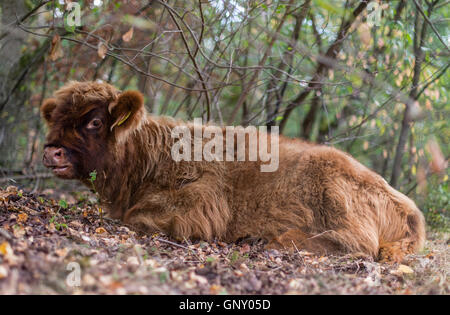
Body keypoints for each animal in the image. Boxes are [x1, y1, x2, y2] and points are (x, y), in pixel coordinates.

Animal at [40, 81, 424, 262]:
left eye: (94, 121)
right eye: (55, 118)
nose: (51, 150)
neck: (150, 156)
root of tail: (408, 207)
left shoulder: (197, 205)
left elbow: (139, 218)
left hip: (335, 195)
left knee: (357, 244)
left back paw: (270, 241)